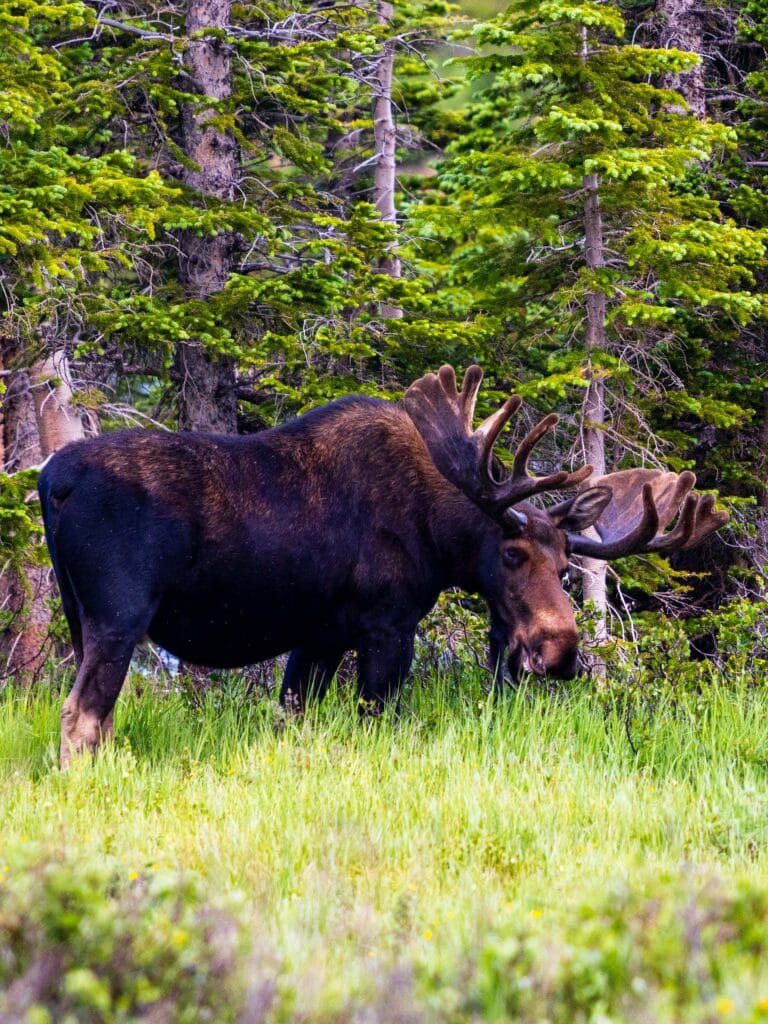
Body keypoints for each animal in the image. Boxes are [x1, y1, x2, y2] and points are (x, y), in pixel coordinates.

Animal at [38, 364, 728, 765]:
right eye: (511, 553)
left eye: (565, 565)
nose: (559, 652)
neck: (438, 535)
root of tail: (51, 480)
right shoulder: (388, 626)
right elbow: (380, 722)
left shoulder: (318, 638)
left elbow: (292, 719)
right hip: (119, 614)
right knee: (80, 717)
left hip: (77, 613)